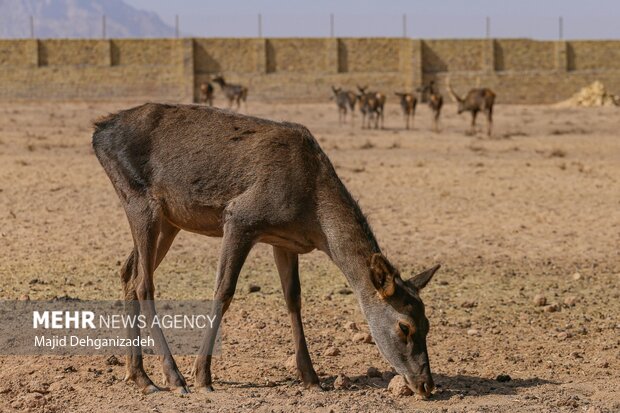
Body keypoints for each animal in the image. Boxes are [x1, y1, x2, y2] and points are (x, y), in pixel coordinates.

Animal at [92, 101, 440, 398]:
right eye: (405, 326)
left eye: (428, 324)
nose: (426, 385)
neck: (314, 217)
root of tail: (98, 131)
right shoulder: (240, 217)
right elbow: (224, 291)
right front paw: (202, 376)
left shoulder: (284, 241)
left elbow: (293, 298)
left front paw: (311, 378)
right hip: (139, 200)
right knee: (144, 283)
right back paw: (173, 378)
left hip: (169, 219)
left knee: (128, 272)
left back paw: (139, 376)